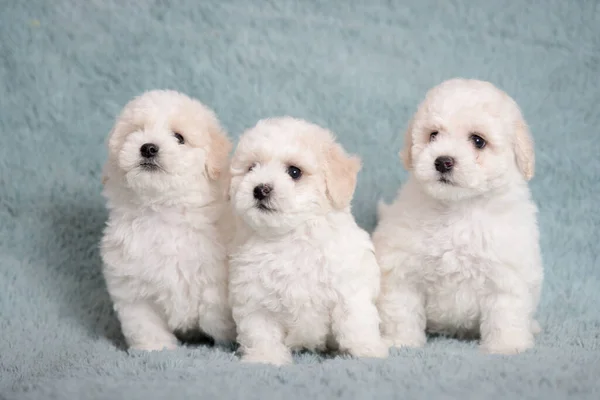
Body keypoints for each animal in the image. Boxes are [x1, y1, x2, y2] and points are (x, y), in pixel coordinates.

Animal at [99, 90, 236, 350]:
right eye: (136, 132)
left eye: (179, 137)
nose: (148, 147)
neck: (164, 211)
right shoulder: (132, 286)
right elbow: (145, 323)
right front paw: (156, 348)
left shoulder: (215, 274)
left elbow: (214, 308)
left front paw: (224, 339)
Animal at [226, 117, 390, 364]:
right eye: (251, 167)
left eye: (294, 172)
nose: (260, 189)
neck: (290, 237)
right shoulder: (254, 296)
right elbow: (261, 330)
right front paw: (266, 357)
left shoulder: (349, 287)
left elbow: (356, 322)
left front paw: (367, 350)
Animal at [372, 78, 540, 354]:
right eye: (433, 135)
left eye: (478, 141)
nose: (443, 161)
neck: (458, 209)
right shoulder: (402, 270)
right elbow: (402, 310)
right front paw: (401, 341)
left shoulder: (506, 274)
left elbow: (506, 314)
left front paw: (506, 346)